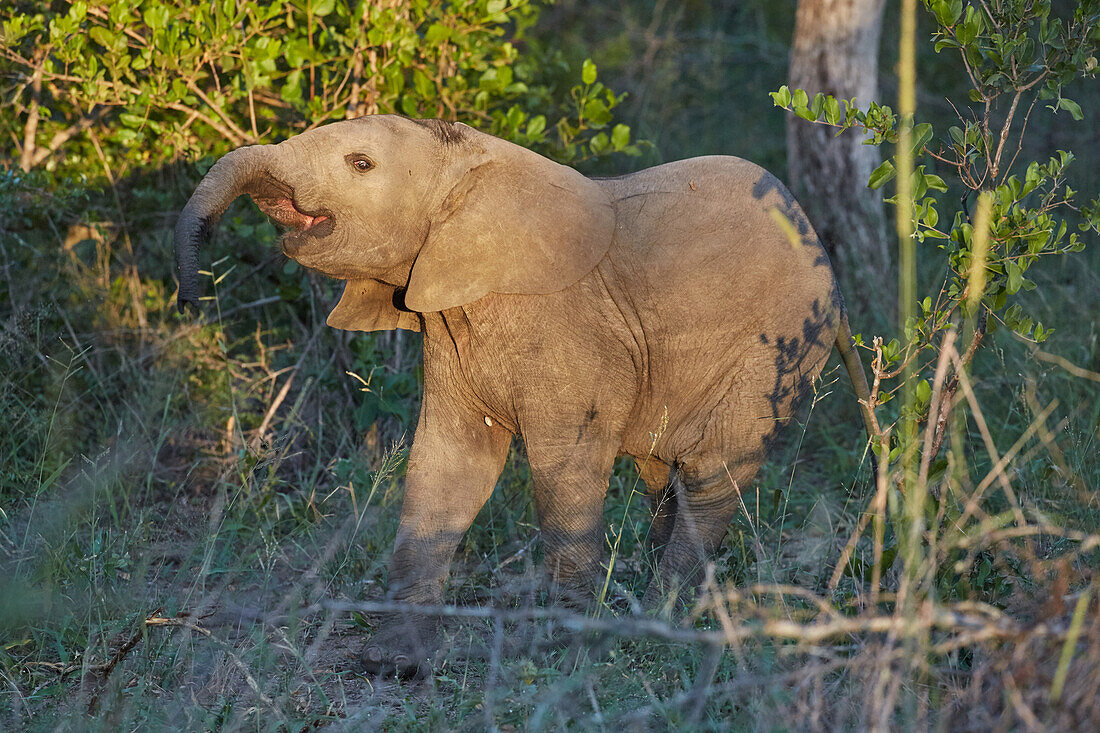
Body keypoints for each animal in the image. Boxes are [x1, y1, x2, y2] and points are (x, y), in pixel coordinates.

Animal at [171, 112, 875, 673]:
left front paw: (566, 653)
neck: (475, 168)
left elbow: (564, 474)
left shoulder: (569, 330)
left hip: (775, 347)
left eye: (360, 163)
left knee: (710, 473)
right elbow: (448, 466)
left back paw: (661, 624)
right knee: (667, 481)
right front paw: (393, 664)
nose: (194, 292)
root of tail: (827, 264)